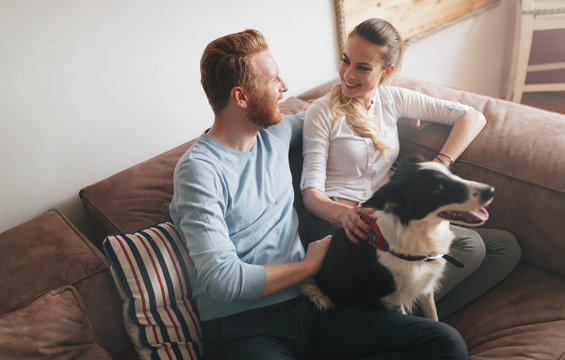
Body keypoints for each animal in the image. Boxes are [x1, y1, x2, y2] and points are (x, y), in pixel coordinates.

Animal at [300, 156, 494, 320]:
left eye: (453, 173)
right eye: (439, 189)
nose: (490, 191)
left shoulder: (425, 288)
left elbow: (433, 316)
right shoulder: (392, 299)